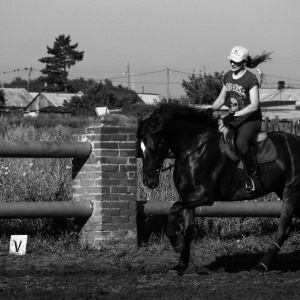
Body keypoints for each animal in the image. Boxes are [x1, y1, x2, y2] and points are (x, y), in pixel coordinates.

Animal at [137, 102, 300, 274]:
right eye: (141, 148)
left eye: (155, 146)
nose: (148, 181)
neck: (195, 148)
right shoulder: (188, 197)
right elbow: (187, 230)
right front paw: (181, 265)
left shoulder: (204, 195)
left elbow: (173, 209)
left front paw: (177, 244)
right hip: (284, 191)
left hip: (291, 191)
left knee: (282, 230)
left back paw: (261, 266)